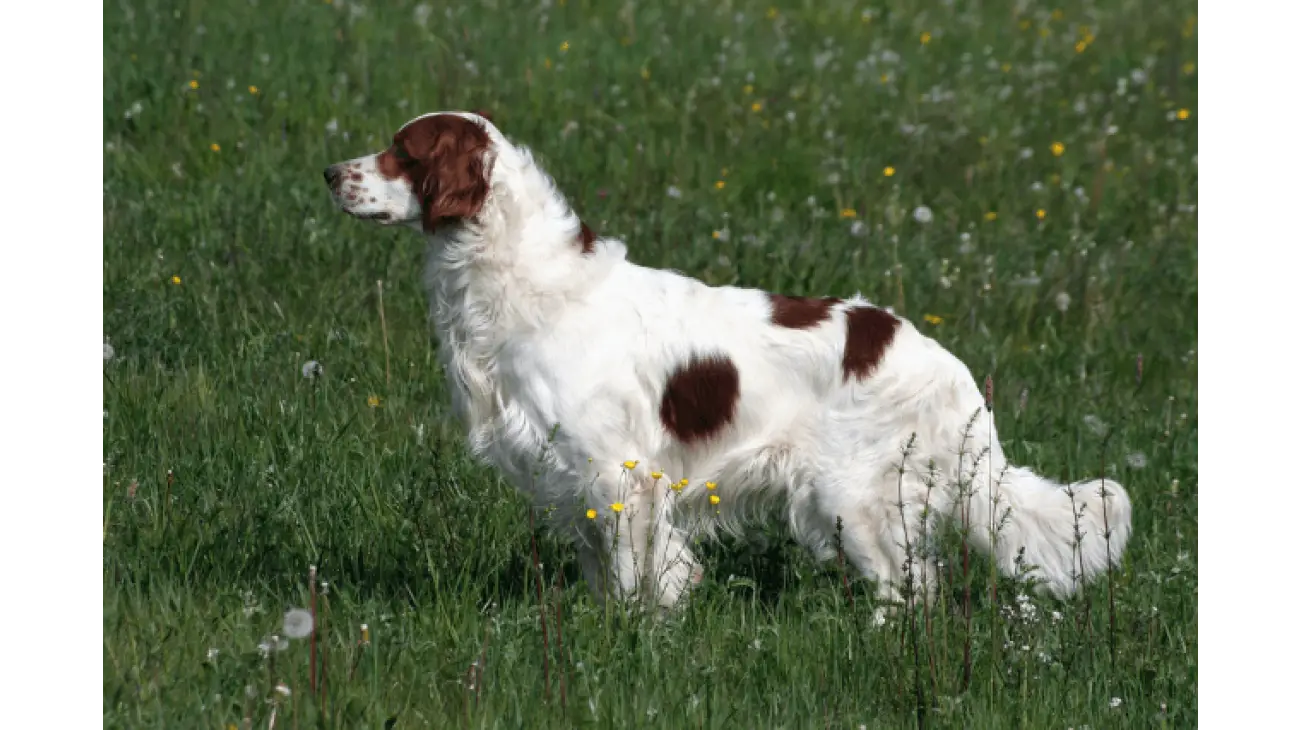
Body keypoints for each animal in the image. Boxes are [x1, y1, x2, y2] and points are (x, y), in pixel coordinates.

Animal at [322, 111, 1128, 613]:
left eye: (403, 151)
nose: (330, 172)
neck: (520, 282)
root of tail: (952, 371)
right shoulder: (574, 479)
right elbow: (604, 574)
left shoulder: (619, 475)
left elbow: (639, 579)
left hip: (850, 500)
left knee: (907, 589)